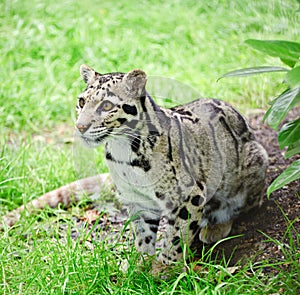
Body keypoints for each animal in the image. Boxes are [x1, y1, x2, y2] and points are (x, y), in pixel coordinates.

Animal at [2, 65, 268, 266]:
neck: (122, 154)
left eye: (106, 106)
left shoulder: (190, 195)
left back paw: (215, 226)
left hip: (253, 164)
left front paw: (164, 269)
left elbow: (176, 237)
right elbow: (143, 233)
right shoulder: (137, 199)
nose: (80, 126)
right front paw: (141, 264)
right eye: (81, 101)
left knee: (247, 203)